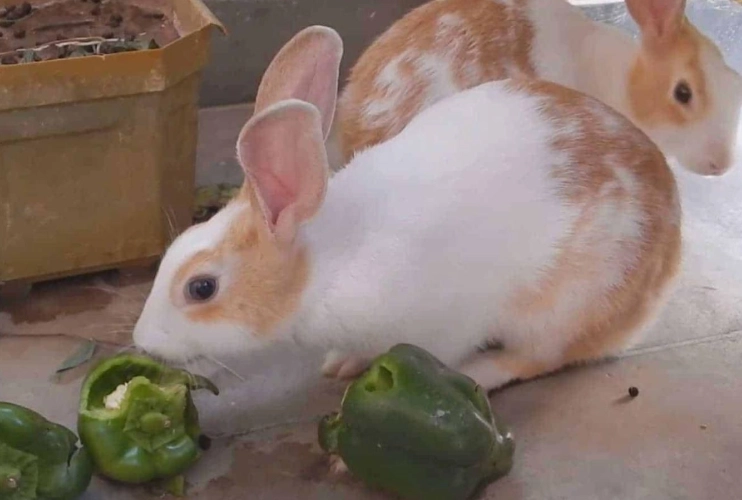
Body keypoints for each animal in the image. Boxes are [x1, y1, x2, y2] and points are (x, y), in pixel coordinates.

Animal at [132, 25, 682, 391]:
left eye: (201, 288)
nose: (143, 342)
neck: (323, 267)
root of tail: (667, 262)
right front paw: (341, 363)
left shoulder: (445, 325)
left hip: (567, 305)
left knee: (538, 357)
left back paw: (481, 373)